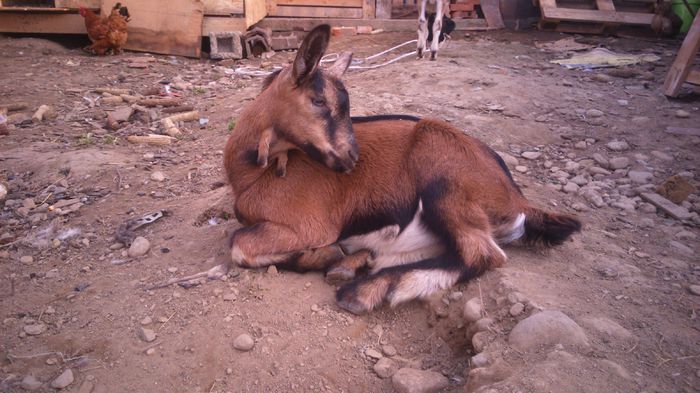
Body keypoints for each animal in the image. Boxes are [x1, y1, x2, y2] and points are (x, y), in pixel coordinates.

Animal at [178, 24, 584, 314]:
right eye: (318, 100)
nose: (350, 158)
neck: (251, 175)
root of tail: (515, 197)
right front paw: (334, 257)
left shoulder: (308, 226)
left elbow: (238, 244)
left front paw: (323, 255)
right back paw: (358, 263)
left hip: (443, 176)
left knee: (483, 254)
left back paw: (365, 289)